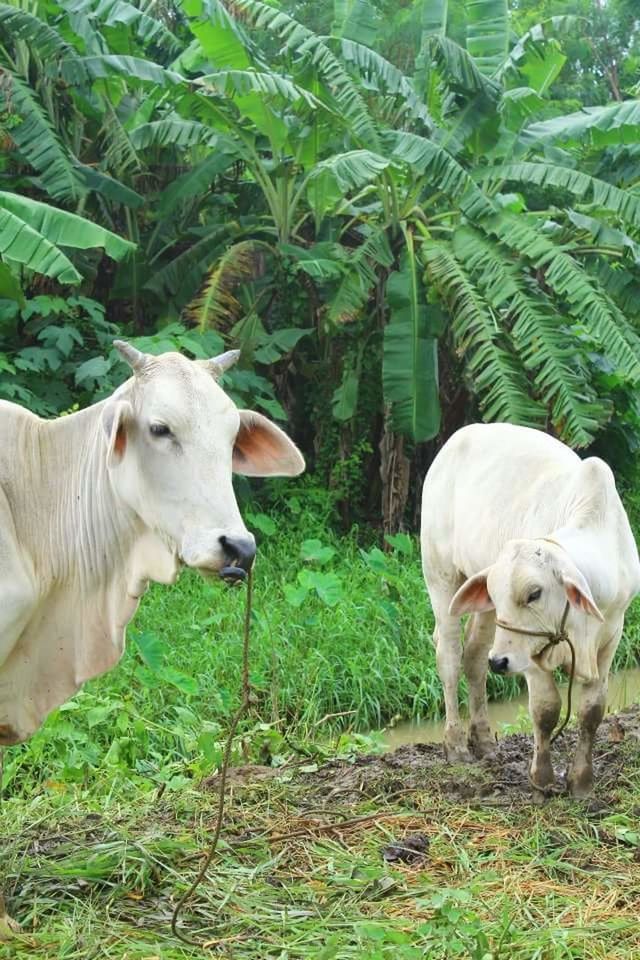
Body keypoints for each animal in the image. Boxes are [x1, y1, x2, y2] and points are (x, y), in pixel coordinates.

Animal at [420, 426, 640, 796]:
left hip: (488, 615)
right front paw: (542, 779)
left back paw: (483, 739)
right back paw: (456, 744)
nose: (500, 662)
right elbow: (546, 709)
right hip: (441, 577)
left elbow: (592, 709)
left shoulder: (612, 634)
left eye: (534, 593)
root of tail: (459, 436)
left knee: (474, 655)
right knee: (449, 655)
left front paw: (581, 782)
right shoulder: (531, 653)